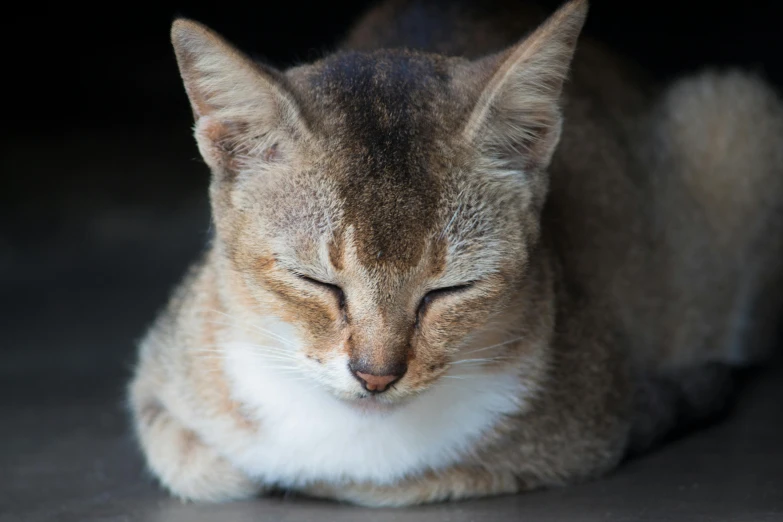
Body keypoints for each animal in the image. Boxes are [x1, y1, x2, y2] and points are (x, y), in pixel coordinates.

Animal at [129, 0, 783, 506]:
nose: (375, 376)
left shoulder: (595, 423)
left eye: (450, 290)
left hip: (735, 112)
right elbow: (203, 464)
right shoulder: (158, 376)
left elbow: (404, 481)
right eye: (316, 282)